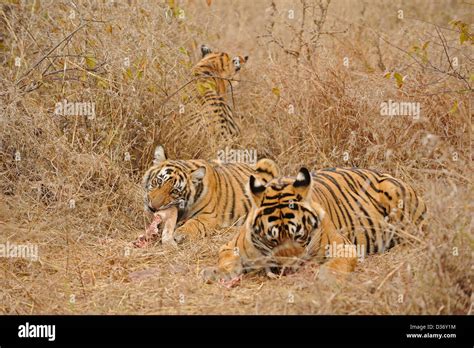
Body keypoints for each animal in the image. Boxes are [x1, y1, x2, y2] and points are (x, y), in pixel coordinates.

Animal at [202, 166, 428, 282]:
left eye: (299, 236)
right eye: (272, 240)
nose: (288, 271)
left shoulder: (343, 246)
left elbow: (337, 264)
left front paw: (326, 277)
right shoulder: (229, 246)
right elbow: (228, 260)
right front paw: (217, 272)